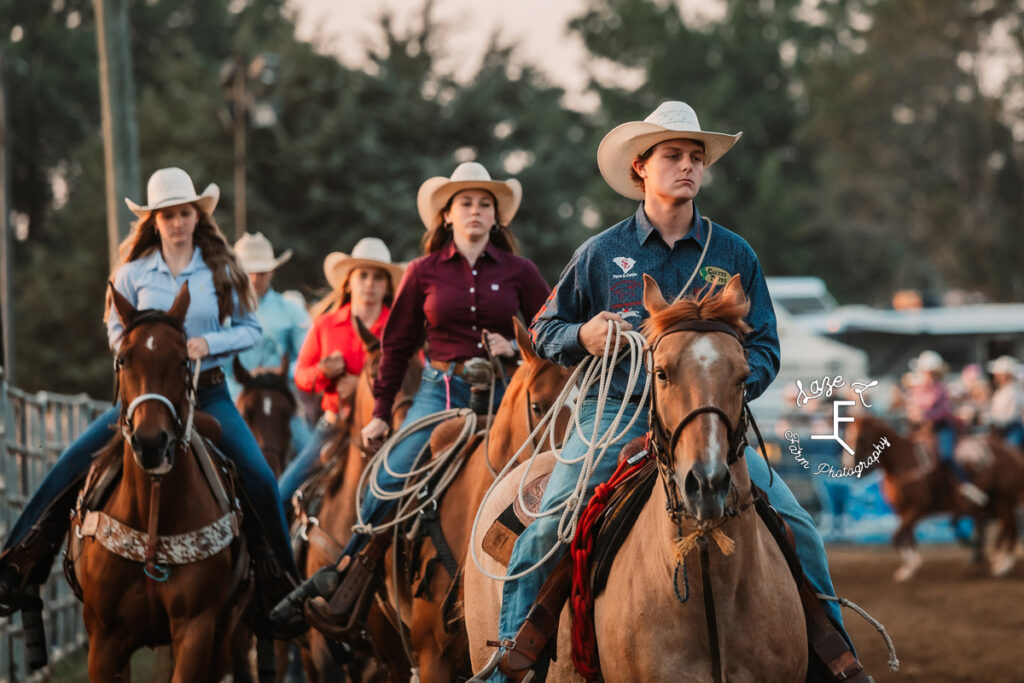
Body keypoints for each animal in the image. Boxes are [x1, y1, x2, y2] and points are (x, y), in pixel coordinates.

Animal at [839, 413, 1024, 581]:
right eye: (847, 434)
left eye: (863, 436)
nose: (848, 464)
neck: (904, 462)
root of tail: (1012, 452)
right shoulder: (902, 511)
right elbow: (906, 536)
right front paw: (910, 566)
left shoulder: (919, 508)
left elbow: (897, 537)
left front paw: (912, 563)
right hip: (997, 502)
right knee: (1007, 527)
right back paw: (999, 558)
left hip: (1004, 500)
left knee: (1011, 527)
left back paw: (1003, 564)